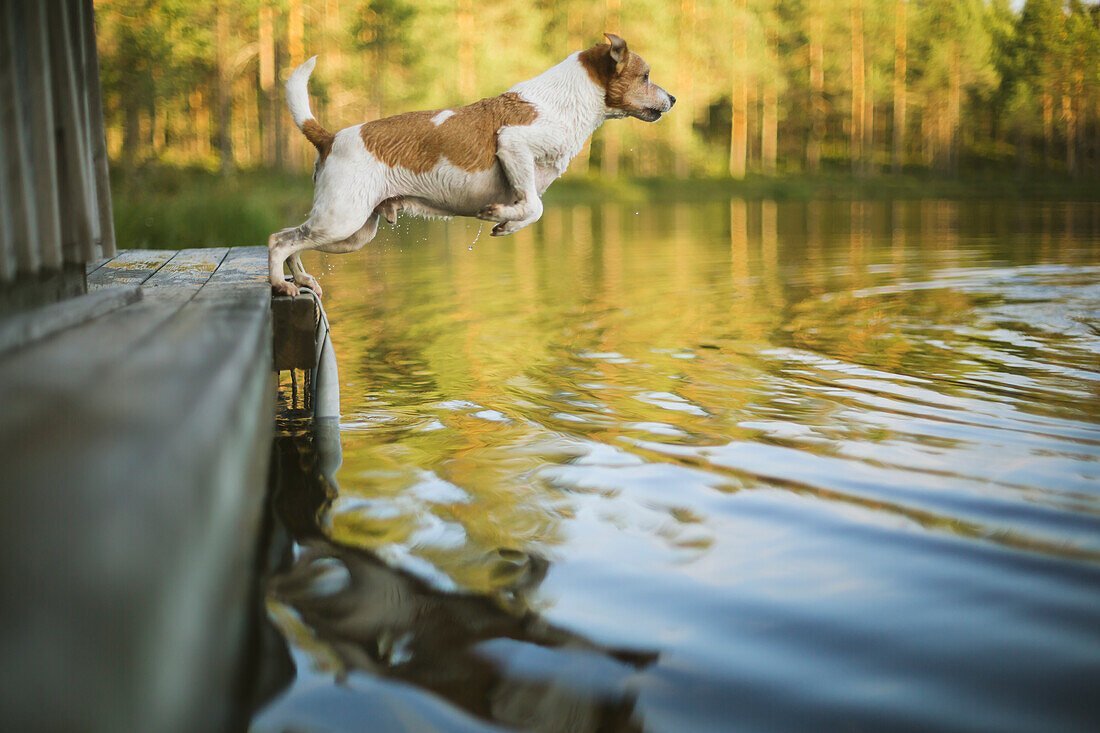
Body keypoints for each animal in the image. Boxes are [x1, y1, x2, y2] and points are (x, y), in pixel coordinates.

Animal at [270, 31, 673, 294]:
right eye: (646, 76)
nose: (673, 99)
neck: (565, 100)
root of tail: (330, 137)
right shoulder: (513, 146)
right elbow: (535, 206)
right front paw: (500, 216)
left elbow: (531, 210)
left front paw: (508, 224)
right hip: (341, 220)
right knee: (278, 241)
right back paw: (280, 284)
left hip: (351, 234)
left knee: (292, 241)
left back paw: (300, 279)